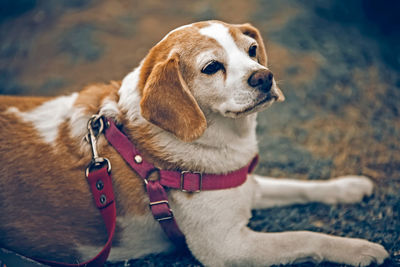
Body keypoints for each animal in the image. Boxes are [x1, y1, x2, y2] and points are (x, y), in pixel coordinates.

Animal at [0, 19, 388, 266]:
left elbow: (296, 186)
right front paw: (359, 249)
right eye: (212, 67)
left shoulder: (245, 186)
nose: (264, 77)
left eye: (252, 50)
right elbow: (304, 236)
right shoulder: (228, 247)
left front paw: (347, 187)